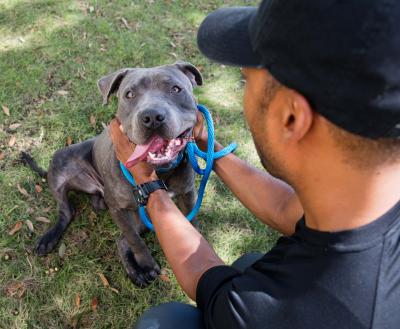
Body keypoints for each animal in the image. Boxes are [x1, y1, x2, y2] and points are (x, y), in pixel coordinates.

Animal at [21, 62, 202, 288]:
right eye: (129, 94)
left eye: (176, 89)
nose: (152, 117)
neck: (158, 173)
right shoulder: (117, 209)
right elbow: (135, 240)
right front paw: (146, 263)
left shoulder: (188, 194)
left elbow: (190, 222)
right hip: (61, 159)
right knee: (68, 212)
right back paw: (50, 238)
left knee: (120, 240)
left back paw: (134, 271)